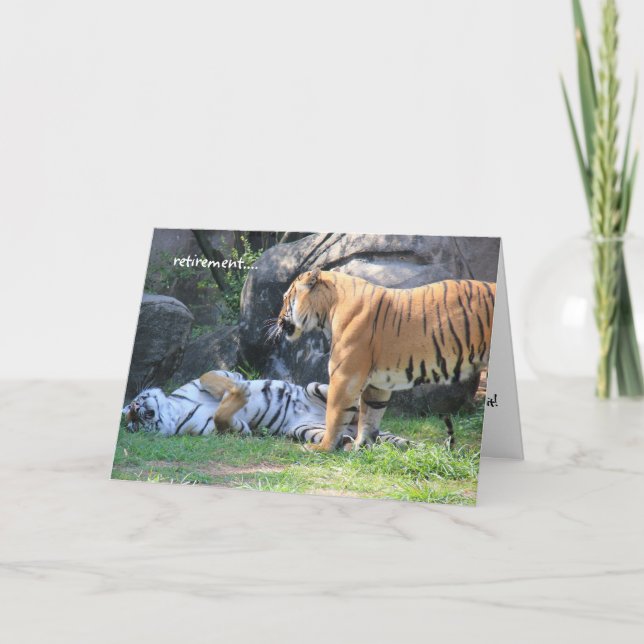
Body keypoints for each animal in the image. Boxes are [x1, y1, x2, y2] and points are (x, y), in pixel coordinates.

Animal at [122, 370, 410, 448]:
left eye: (131, 410)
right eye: (132, 425)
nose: (135, 408)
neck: (176, 410)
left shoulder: (214, 376)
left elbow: (210, 377)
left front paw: (242, 389)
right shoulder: (229, 430)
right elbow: (222, 418)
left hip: (315, 387)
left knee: (360, 406)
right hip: (303, 430)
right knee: (344, 434)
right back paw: (350, 442)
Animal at [275, 269, 496, 452]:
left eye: (285, 299)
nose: (277, 320)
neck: (329, 309)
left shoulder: (345, 376)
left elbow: (335, 415)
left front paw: (322, 448)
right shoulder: (378, 384)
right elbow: (369, 418)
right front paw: (360, 447)